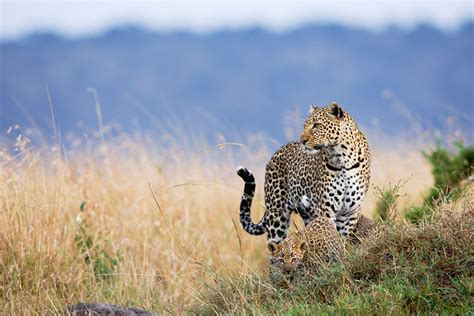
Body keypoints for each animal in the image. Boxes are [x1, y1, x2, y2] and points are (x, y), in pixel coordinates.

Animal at [237, 102, 370, 244]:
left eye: (316, 125)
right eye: (304, 126)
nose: (302, 140)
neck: (343, 158)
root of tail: (276, 153)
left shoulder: (350, 213)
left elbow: (342, 240)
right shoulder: (326, 209)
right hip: (277, 216)